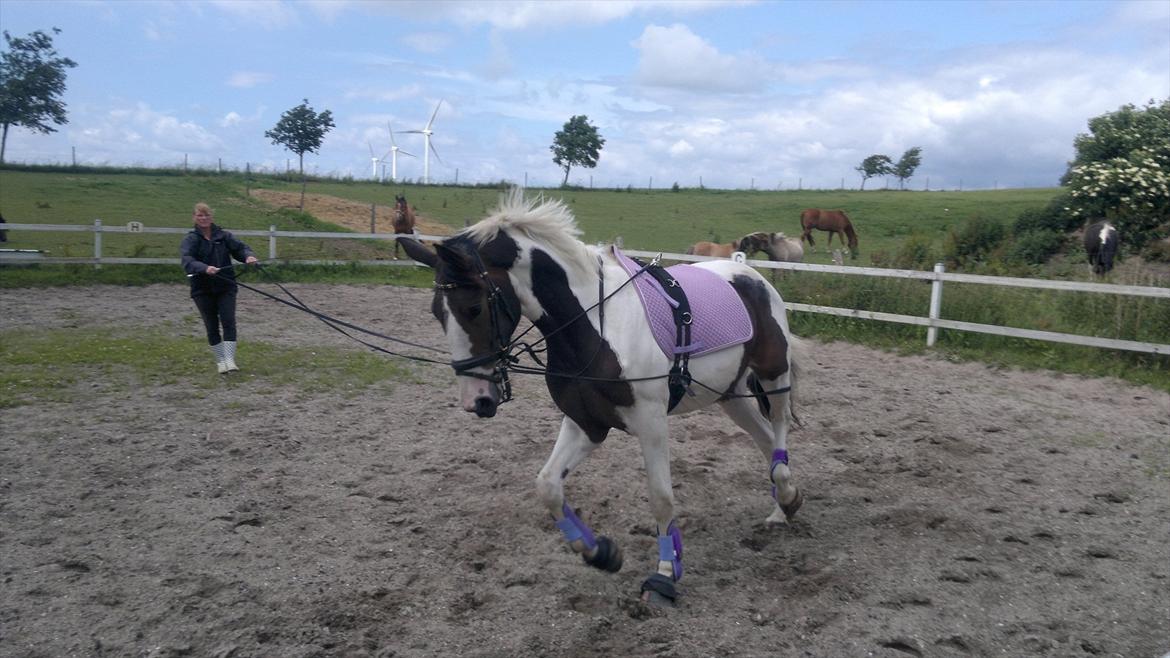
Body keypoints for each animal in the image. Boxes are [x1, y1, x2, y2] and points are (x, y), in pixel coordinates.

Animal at [397, 188, 800, 604]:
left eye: (474, 308)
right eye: (436, 313)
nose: (476, 400)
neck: (596, 326)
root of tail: (752, 276)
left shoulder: (652, 423)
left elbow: (661, 498)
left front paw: (665, 574)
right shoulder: (586, 422)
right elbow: (548, 486)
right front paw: (600, 553)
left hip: (774, 375)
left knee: (779, 428)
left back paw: (786, 497)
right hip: (729, 394)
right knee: (765, 440)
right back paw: (782, 507)